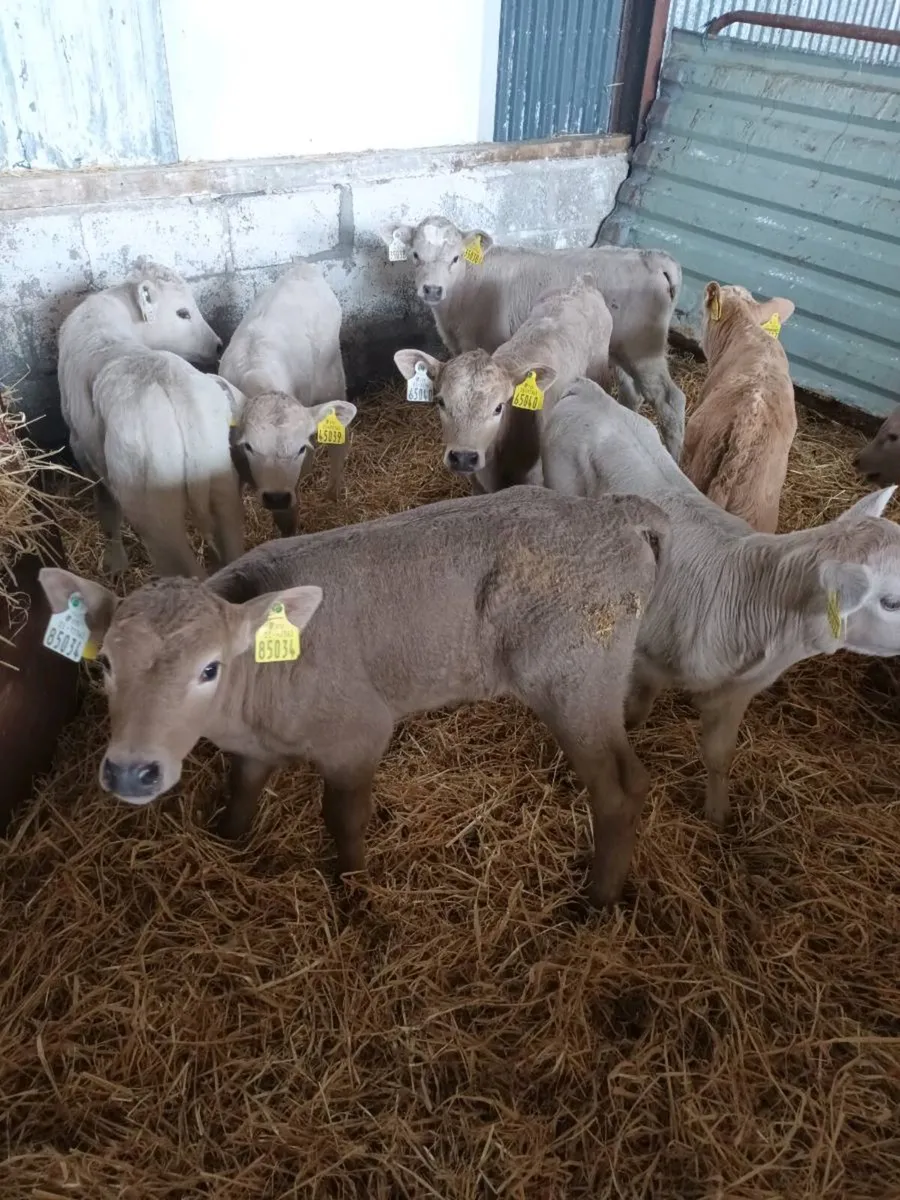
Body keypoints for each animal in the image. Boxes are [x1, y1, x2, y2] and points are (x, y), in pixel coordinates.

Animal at [39, 486, 670, 907]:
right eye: (104, 666)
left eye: (209, 668)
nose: (130, 772)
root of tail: (612, 511)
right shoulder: (254, 746)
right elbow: (240, 793)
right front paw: (226, 840)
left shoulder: (357, 735)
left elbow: (343, 818)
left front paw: (353, 891)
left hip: (572, 677)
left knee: (620, 789)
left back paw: (597, 899)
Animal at [381, 215, 686, 460]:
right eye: (415, 255)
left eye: (455, 258)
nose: (432, 289)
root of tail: (651, 256)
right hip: (623, 349)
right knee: (633, 392)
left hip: (644, 347)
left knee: (670, 400)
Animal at [542, 378, 900, 827]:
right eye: (891, 602)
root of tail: (586, 389)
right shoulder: (647, 653)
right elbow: (632, 710)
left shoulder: (736, 691)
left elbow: (719, 753)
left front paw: (718, 815)